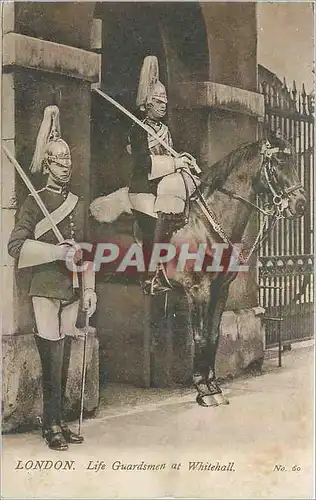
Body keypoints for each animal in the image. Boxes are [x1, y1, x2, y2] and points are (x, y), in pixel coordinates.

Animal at [90, 133, 306, 406]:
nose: (301, 204)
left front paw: (213, 385)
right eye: (279, 162)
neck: (207, 224)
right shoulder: (197, 290)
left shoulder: (220, 290)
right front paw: (203, 389)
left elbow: (213, 336)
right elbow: (200, 336)